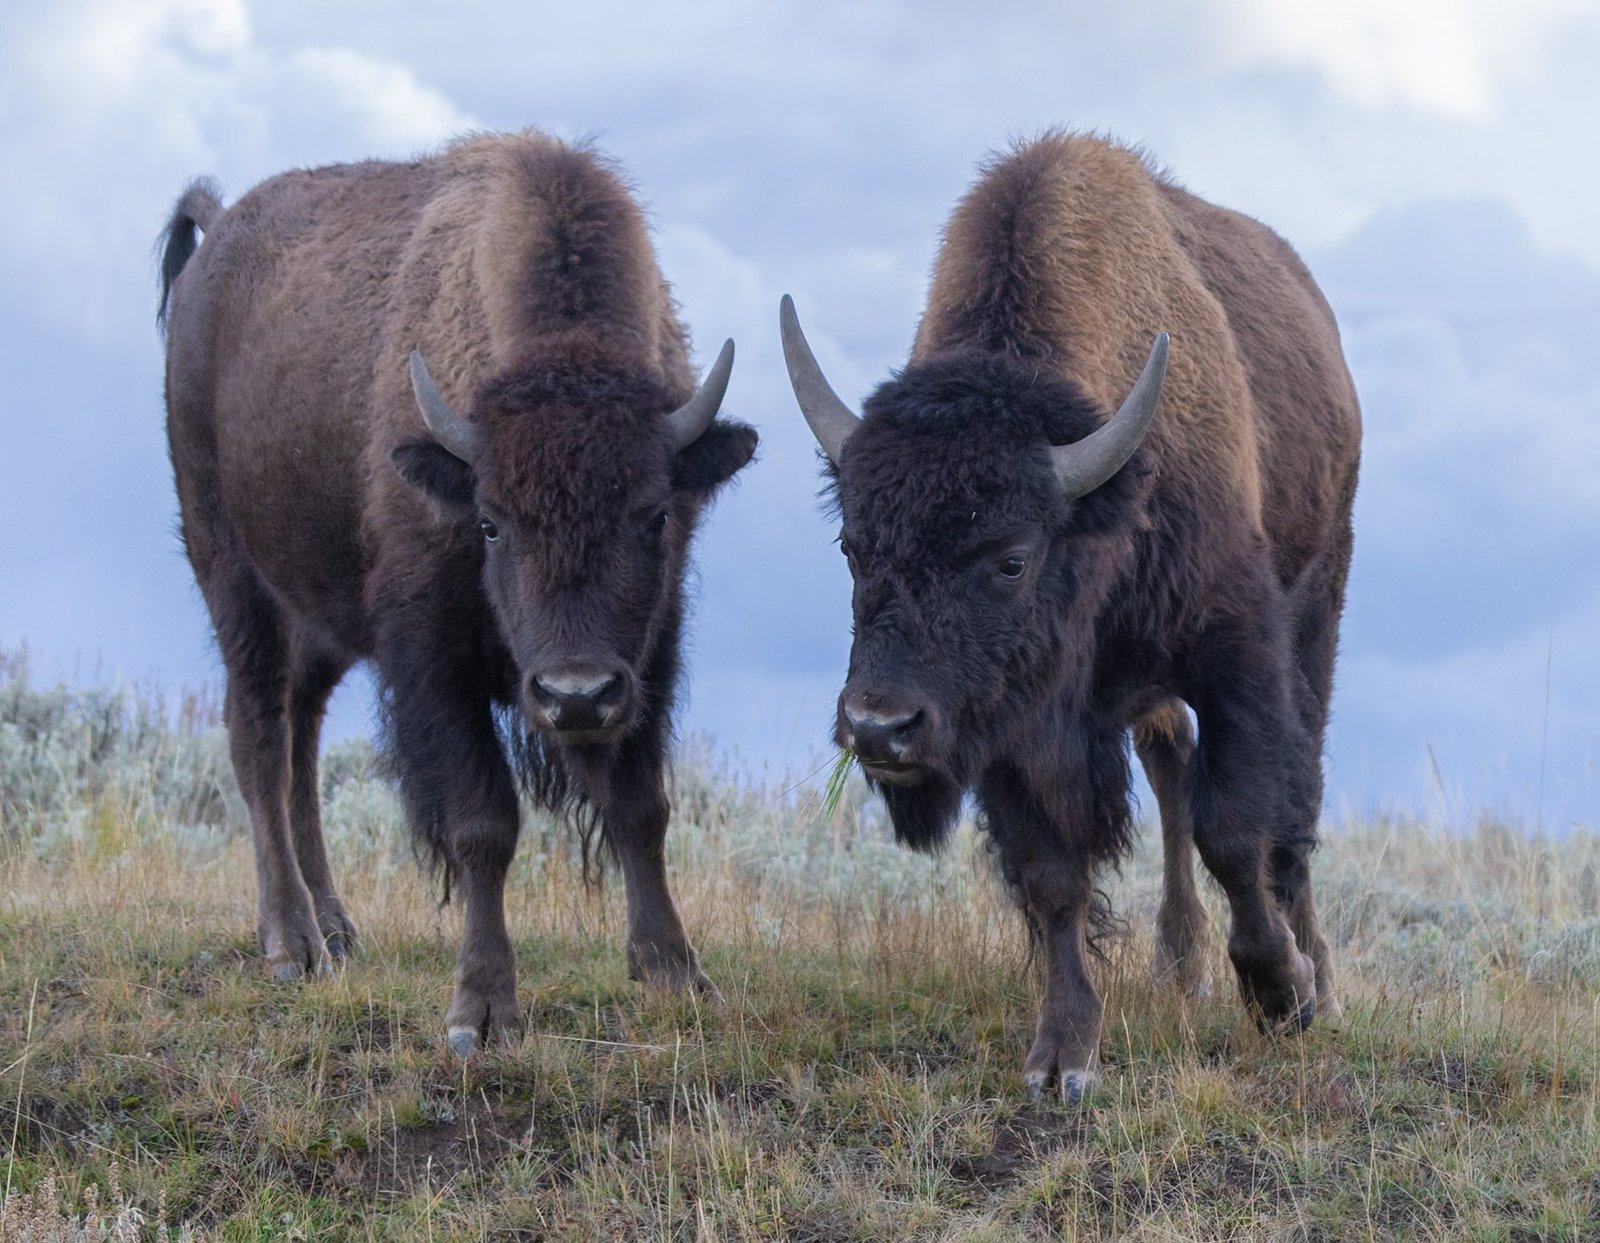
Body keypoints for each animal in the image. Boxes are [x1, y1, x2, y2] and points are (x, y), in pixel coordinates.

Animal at [158, 131, 756, 1052]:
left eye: (655, 515)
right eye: (490, 523)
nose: (574, 694)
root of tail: (213, 246)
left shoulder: (652, 651)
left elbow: (641, 805)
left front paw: (676, 972)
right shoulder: (431, 651)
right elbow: (484, 824)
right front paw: (481, 1013)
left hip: (321, 621)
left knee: (301, 737)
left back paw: (337, 927)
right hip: (228, 567)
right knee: (258, 733)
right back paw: (292, 943)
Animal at [781, 132, 1360, 1101]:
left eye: (1011, 558)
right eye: (853, 548)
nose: (878, 726)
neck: (1100, 506)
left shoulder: (1235, 646)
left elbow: (1235, 828)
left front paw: (1283, 991)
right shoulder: (1016, 724)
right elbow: (1055, 876)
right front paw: (1062, 1056)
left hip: (1320, 596)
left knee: (1296, 794)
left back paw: (1318, 974)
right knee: (1172, 766)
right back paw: (1180, 967)